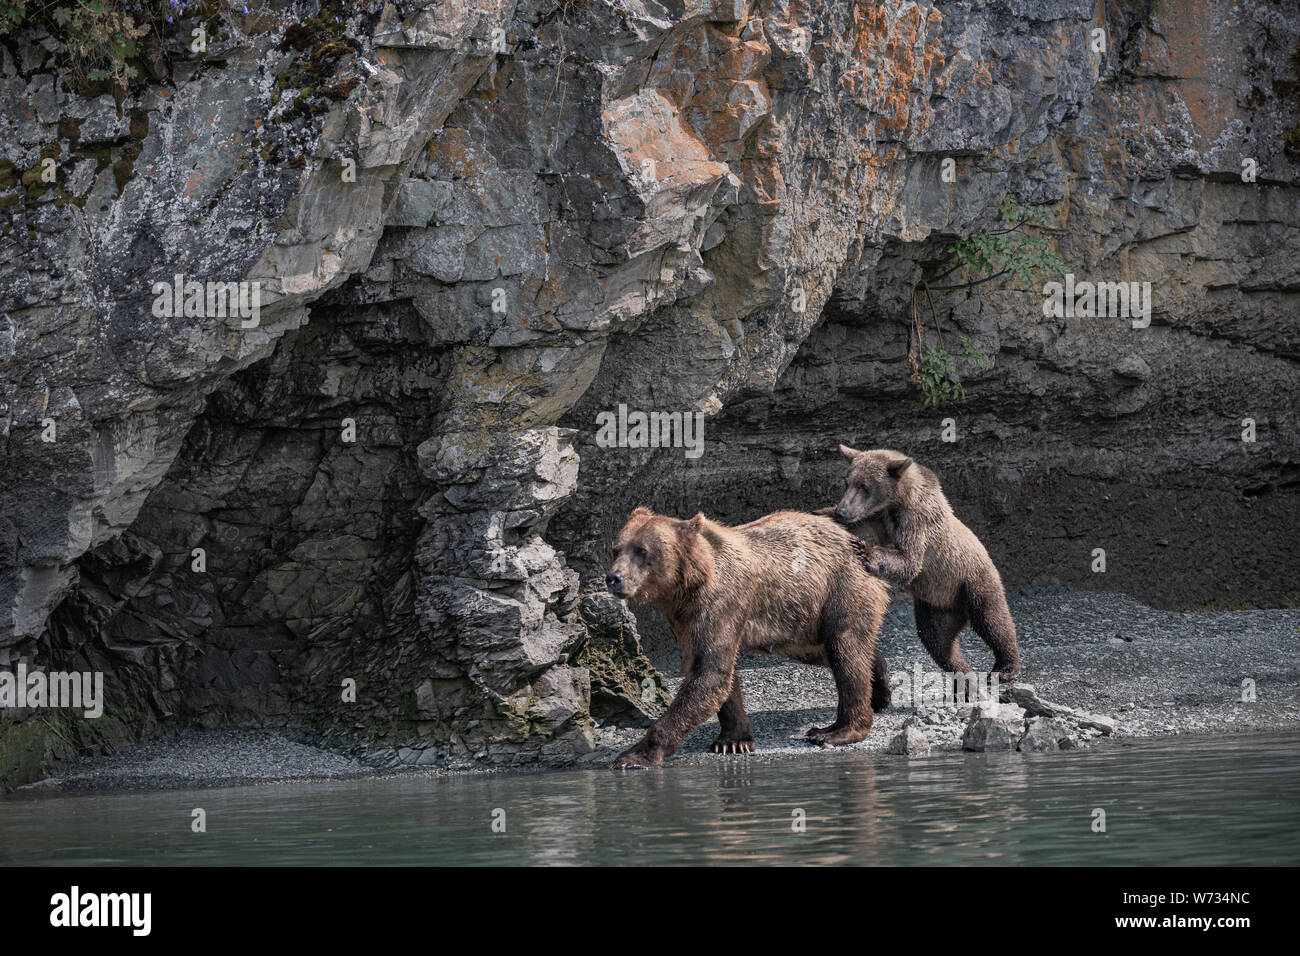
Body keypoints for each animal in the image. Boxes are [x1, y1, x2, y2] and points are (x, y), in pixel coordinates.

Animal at [605, 507, 891, 768]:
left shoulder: (720, 602)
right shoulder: (685, 618)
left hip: (841, 589)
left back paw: (835, 731)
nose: (614, 578)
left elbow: (710, 674)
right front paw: (733, 741)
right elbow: (717, 673)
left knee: (844, 651)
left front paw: (634, 755)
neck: (689, 582)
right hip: (804, 621)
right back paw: (880, 689)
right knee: (834, 651)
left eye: (642, 550)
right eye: (616, 549)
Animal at [827, 446, 1021, 683]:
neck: (898, 502)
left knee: (993, 619)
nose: (842, 511)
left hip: (971, 580)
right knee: (937, 640)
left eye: (864, 485)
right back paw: (961, 671)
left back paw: (1006, 667)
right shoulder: (876, 518)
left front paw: (865, 550)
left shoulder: (917, 522)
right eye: (847, 482)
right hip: (936, 605)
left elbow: (909, 561)